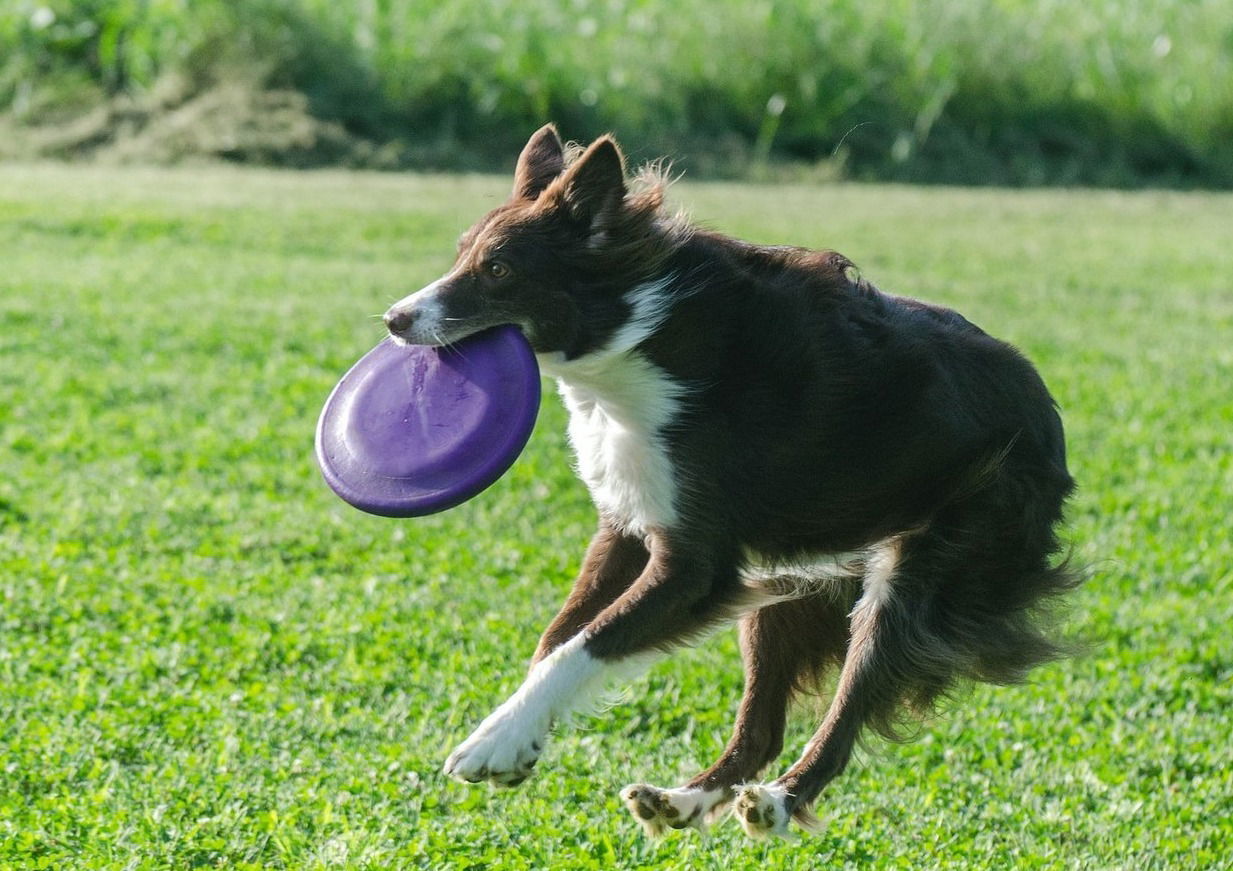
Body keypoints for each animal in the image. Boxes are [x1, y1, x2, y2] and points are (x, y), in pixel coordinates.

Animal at [379, 125, 1075, 838]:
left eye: (498, 269)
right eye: (462, 254)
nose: (394, 320)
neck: (633, 337)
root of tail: (1047, 416)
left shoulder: (697, 567)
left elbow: (588, 642)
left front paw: (493, 742)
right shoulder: (626, 525)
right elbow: (556, 642)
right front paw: (522, 739)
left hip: (922, 564)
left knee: (848, 708)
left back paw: (778, 799)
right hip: (792, 579)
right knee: (762, 728)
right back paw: (680, 800)